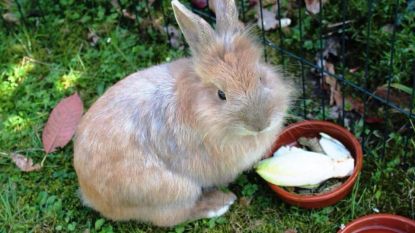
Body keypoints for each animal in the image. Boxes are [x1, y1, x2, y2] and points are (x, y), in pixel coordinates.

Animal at [73, 0, 294, 227]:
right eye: (221, 94)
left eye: (260, 77)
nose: (259, 124)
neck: (202, 110)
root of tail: (90, 192)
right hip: (173, 191)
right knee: (175, 216)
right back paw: (219, 203)